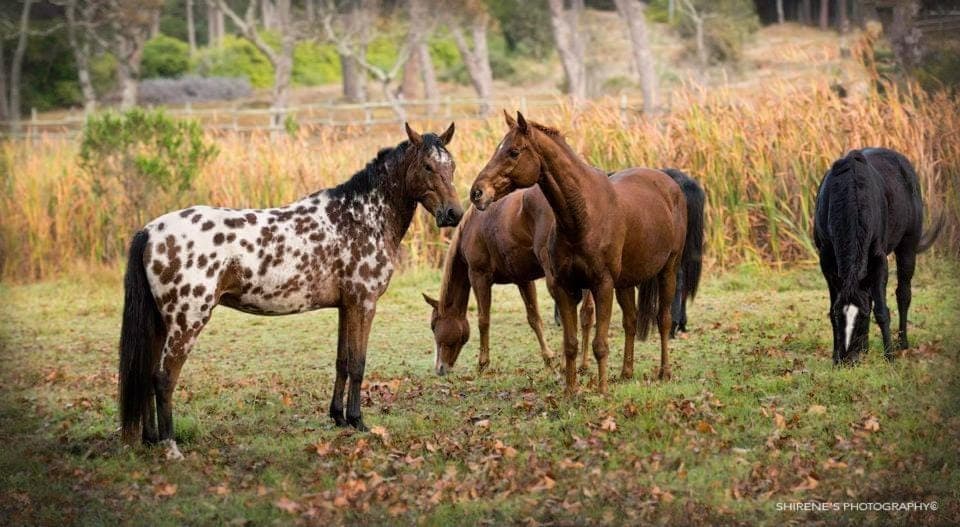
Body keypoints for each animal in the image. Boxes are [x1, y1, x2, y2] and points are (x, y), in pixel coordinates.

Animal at [119, 123, 462, 458]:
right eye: (428, 166)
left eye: (452, 166)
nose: (454, 214)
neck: (361, 217)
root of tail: (150, 231)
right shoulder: (363, 303)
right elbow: (358, 363)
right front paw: (357, 421)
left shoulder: (345, 306)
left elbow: (342, 361)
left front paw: (338, 418)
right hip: (187, 321)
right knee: (163, 378)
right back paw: (171, 446)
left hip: (161, 324)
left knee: (147, 374)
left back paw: (150, 440)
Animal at [422, 187, 595, 376]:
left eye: (433, 326)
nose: (439, 369)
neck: (473, 226)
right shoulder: (523, 280)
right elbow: (534, 319)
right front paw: (548, 358)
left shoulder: (479, 276)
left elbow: (483, 320)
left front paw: (483, 364)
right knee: (586, 313)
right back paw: (583, 365)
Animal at [470, 111, 687, 395]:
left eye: (513, 151)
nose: (477, 192)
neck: (582, 216)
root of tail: (669, 183)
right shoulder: (565, 287)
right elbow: (570, 343)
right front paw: (571, 391)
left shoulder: (602, 285)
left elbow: (599, 343)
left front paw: (602, 390)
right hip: (625, 282)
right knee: (630, 321)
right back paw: (626, 373)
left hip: (668, 270)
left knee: (663, 319)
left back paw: (665, 372)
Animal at [814, 148, 943, 364]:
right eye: (841, 317)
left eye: (863, 316)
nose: (849, 358)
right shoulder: (827, 261)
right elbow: (833, 309)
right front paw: (836, 357)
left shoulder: (879, 259)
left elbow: (881, 310)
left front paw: (889, 356)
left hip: (908, 247)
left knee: (903, 294)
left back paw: (902, 344)